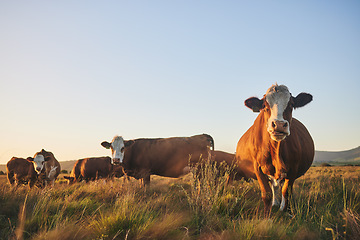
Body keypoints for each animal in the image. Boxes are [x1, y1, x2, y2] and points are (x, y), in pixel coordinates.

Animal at [235, 84, 314, 216]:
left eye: (291, 105)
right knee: (274, 185)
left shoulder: (293, 169)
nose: (279, 124)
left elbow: (286, 192)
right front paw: (266, 216)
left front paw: (287, 211)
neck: (275, 149)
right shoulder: (258, 167)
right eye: (265, 106)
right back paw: (275, 203)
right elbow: (266, 193)